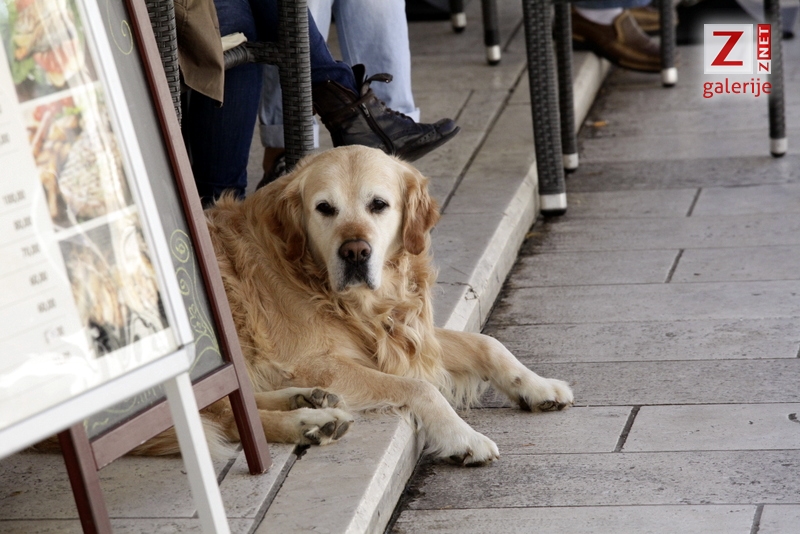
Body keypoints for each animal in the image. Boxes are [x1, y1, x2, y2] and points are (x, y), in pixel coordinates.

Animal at [152, 145, 573, 466]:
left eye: (379, 204)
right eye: (324, 208)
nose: (355, 252)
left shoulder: (404, 335)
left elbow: (488, 344)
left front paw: (537, 385)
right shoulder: (313, 361)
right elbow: (421, 388)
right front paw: (462, 437)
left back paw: (307, 401)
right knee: (222, 418)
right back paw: (307, 422)